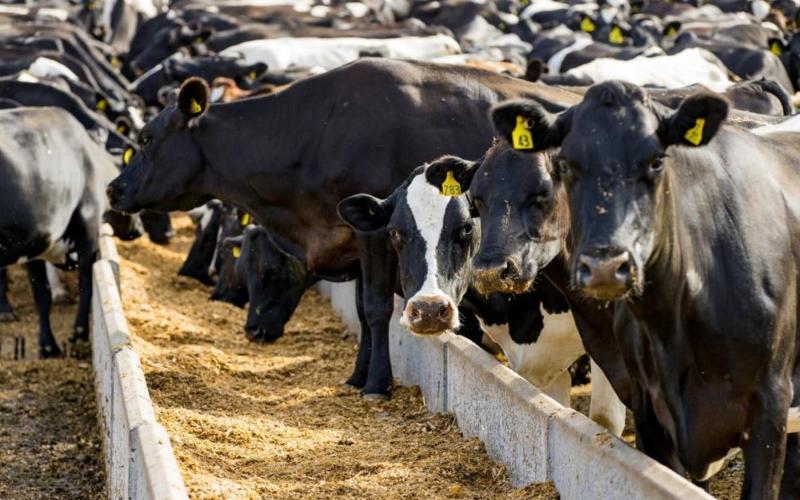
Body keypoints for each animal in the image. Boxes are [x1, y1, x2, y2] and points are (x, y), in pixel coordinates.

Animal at [107, 58, 581, 398]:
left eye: (146, 139)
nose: (113, 189)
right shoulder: (357, 237)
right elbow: (361, 310)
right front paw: (357, 376)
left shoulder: (373, 234)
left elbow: (375, 308)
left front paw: (376, 385)